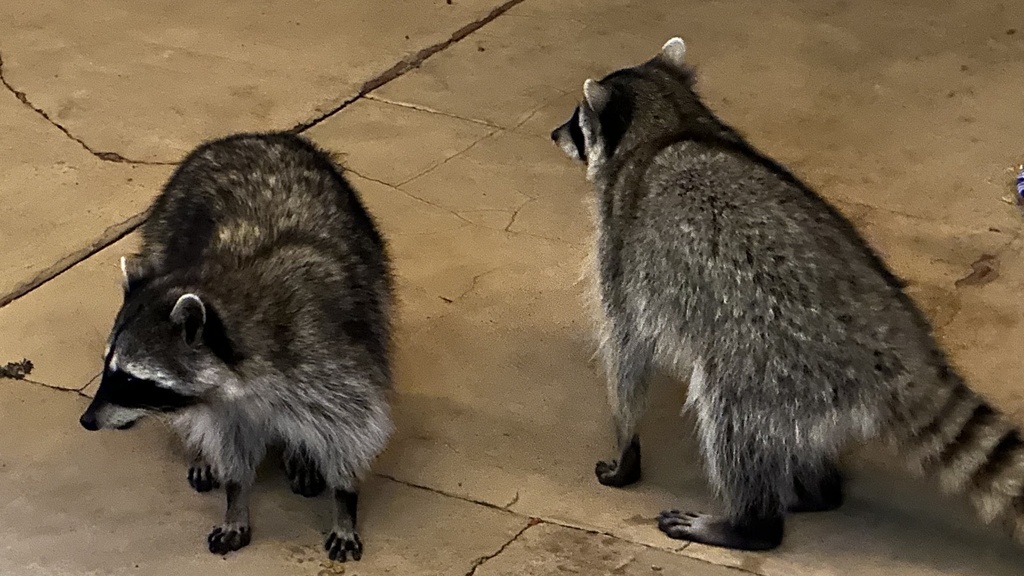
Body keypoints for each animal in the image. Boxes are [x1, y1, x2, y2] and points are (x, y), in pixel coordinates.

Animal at [78, 132, 394, 561]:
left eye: (129, 380)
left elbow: (352, 429)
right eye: (107, 368)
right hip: (164, 232)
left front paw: (344, 502)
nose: (87, 421)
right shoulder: (224, 404)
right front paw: (235, 499)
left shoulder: (329, 355)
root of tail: (252, 137)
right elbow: (228, 441)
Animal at [551, 37, 1024, 551]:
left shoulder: (621, 248)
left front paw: (626, 449)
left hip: (774, 359)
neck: (669, 121)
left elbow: (627, 352)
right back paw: (816, 490)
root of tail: (899, 343)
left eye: (577, 120)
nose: (555, 134)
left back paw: (748, 523)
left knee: (729, 414)